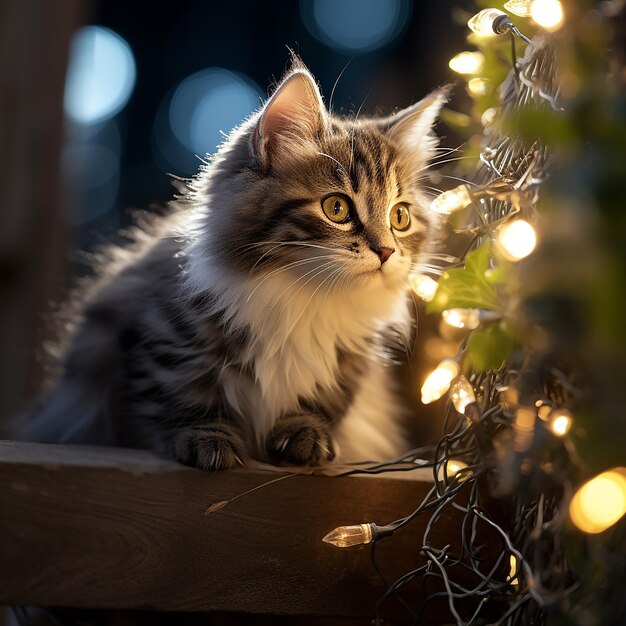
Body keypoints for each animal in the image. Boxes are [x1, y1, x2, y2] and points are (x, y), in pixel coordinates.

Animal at [22, 59, 446, 468]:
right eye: (337, 208)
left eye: (400, 217)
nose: (386, 252)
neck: (306, 297)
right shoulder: (155, 339)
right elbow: (176, 399)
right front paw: (206, 437)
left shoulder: (349, 365)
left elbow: (323, 405)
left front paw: (305, 434)